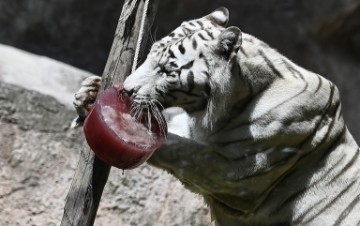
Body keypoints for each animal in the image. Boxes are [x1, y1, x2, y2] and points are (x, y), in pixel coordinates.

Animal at [73, 7, 360, 226]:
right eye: (151, 54)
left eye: (167, 71)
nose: (126, 90)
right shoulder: (195, 130)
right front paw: (89, 93)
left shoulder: (240, 175)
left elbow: (181, 150)